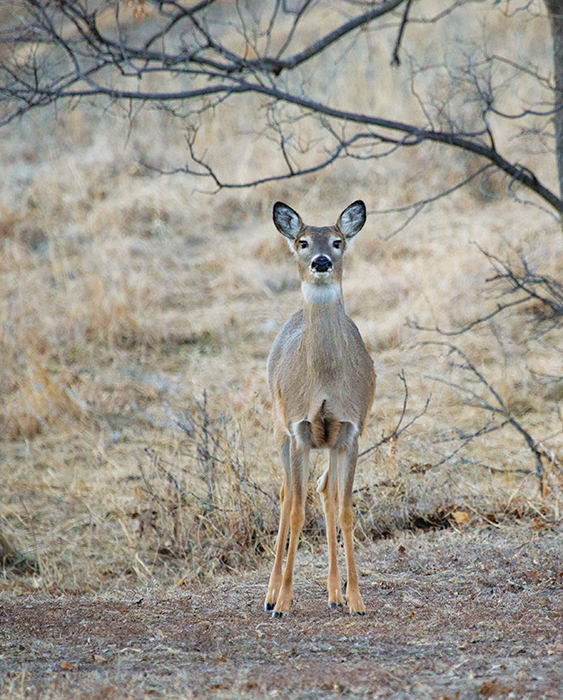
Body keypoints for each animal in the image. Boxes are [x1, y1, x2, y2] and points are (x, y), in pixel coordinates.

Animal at [266, 200, 378, 616]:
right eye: (302, 242)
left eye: (337, 240)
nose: (320, 261)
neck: (325, 380)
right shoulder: (299, 429)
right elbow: (298, 510)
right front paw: (284, 600)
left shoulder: (350, 431)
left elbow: (344, 509)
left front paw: (355, 599)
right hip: (279, 427)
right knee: (287, 494)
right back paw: (270, 594)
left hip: (327, 443)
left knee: (326, 491)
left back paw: (333, 593)